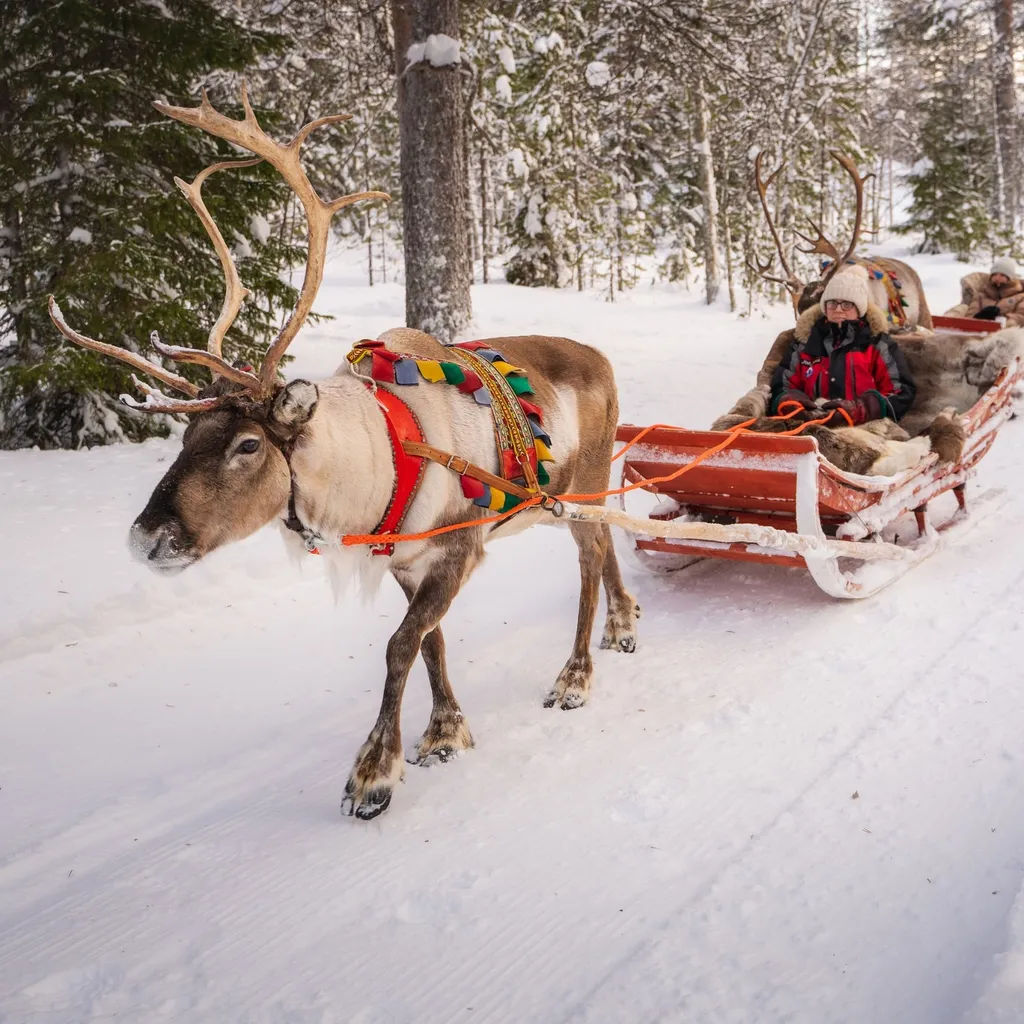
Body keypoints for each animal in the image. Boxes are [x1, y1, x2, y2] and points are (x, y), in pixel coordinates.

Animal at [47, 84, 640, 821]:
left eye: (248, 444)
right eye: (185, 438)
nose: (146, 538)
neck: (375, 461)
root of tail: (601, 359)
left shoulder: (458, 548)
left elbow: (398, 647)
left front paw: (373, 772)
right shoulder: (406, 561)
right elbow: (432, 643)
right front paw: (445, 732)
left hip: (582, 484)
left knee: (588, 562)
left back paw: (576, 676)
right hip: (578, 494)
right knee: (608, 544)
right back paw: (623, 623)